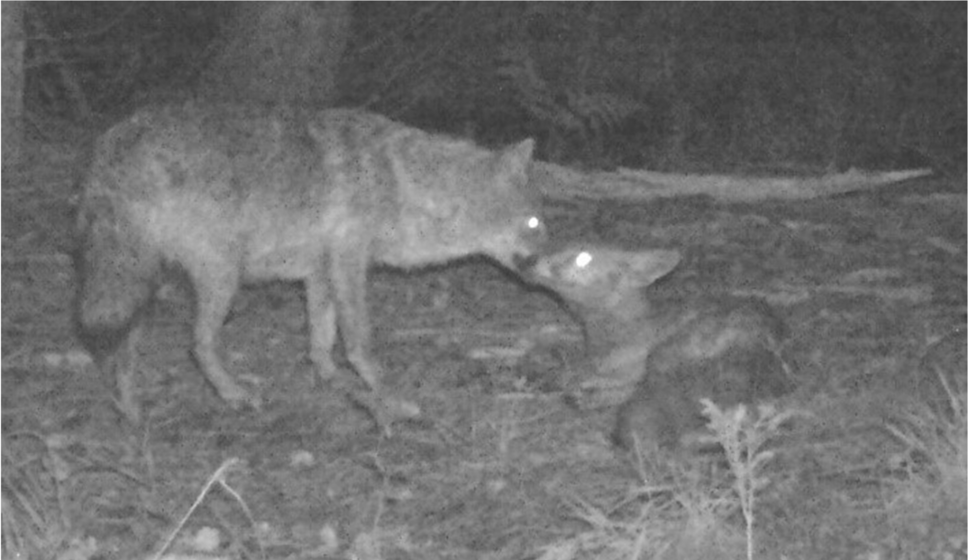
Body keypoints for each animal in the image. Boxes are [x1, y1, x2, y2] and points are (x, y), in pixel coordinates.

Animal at [76, 102, 547, 428]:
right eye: (534, 223)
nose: (542, 264)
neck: (405, 184)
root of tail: (115, 142)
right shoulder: (349, 263)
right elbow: (359, 342)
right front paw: (389, 397)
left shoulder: (320, 272)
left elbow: (321, 340)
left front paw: (333, 381)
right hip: (219, 276)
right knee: (198, 344)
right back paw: (235, 395)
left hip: (140, 281)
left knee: (124, 351)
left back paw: (132, 412)